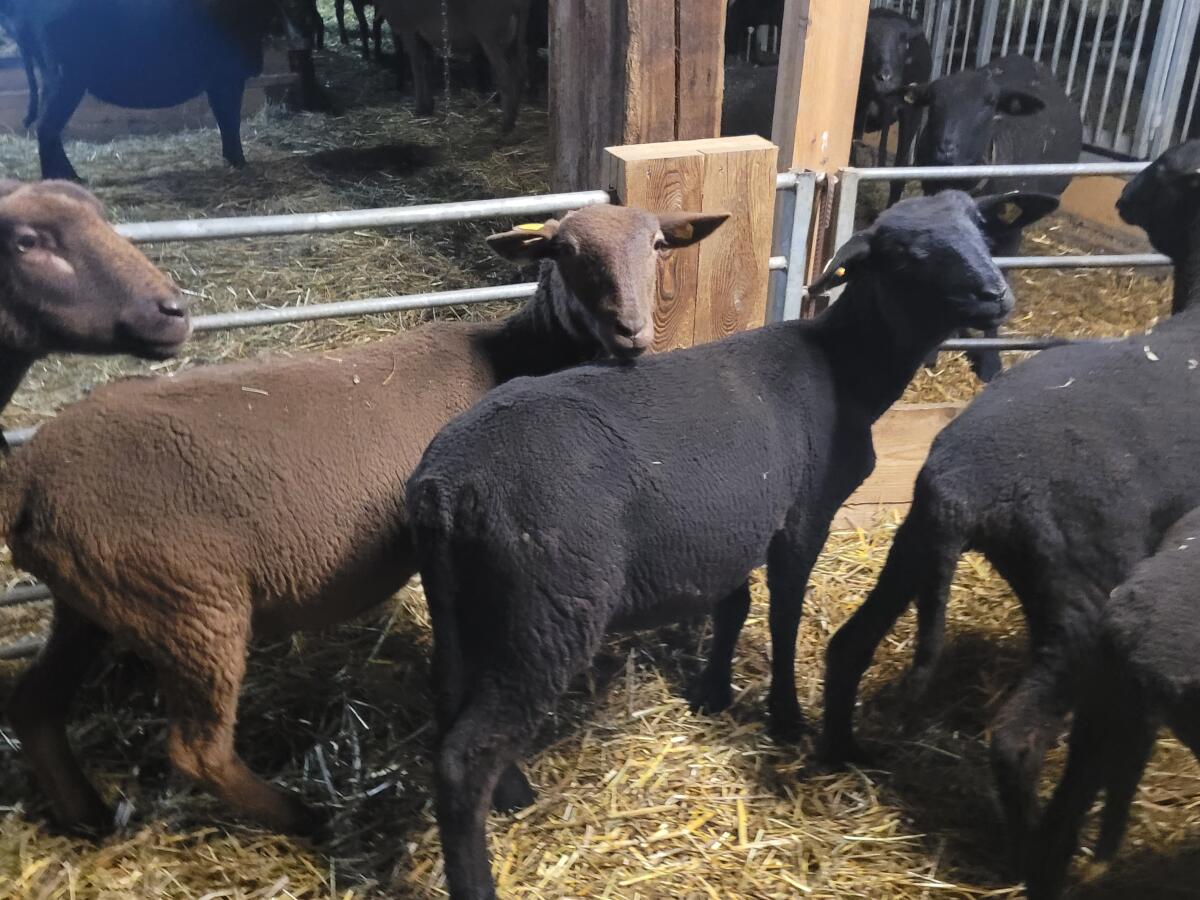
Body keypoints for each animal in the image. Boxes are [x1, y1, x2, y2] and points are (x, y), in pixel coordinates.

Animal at [1, 204, 726, 837]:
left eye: (657, 247)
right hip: (190, 606)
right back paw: (304, 817)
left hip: (100, 597)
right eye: (565, 252)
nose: (631, 330)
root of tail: (28, 476)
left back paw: (87, 816)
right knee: (196, 749)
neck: (520, 355)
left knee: (36, 703)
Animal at [406, 189, 1059, 900]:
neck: (848, 368)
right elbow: (784, 614)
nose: (995, 295)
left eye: (980, 229)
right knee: (464, 757)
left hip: (461, 601)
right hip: (547, 609)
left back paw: (513, 792)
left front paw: (713, 692)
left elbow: (734, 607)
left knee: (450, 699)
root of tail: (446, 484)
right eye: (907, 254)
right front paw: (785, 716)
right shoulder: (803, 514)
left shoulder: (727, 525)